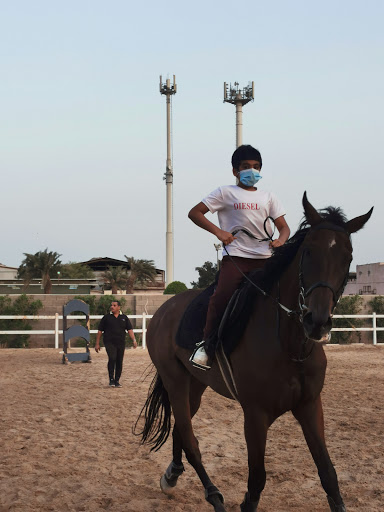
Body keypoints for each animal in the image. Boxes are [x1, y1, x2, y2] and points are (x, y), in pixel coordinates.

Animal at [137, 193, 372, 512]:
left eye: (347, 257)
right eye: (308, 251)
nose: (317, 321)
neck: (290, 346)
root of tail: (163, 310)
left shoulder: (310, 406)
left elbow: (328, 474)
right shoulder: (256, 416)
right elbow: (256, 482)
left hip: (195, 386)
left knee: (179, 432)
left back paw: (172, 476)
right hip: (175, 381)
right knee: (189, 438)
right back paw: (213, 495)